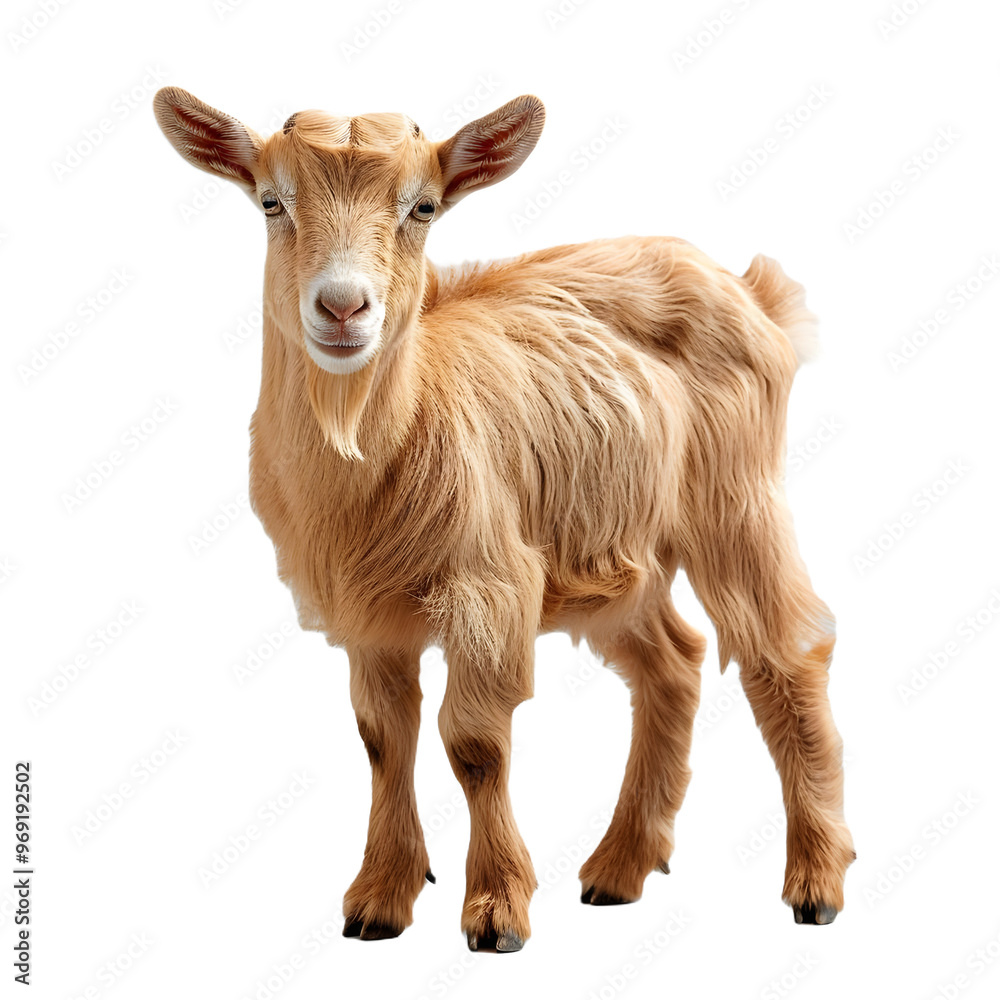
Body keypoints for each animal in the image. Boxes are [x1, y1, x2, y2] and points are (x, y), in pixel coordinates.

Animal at [153, 87, 855, 951]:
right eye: (270, 202)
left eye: (422, 207)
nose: (344, 307)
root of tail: (750, 291)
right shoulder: (365, 613)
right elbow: (383, 738)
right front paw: (379, 899)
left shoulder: (488, 583)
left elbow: (474, 742)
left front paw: (495, 910)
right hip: (612, 553)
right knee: (674, 663)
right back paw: (619, 868)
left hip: (736, 499)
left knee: (786, 650)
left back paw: (816, 881)